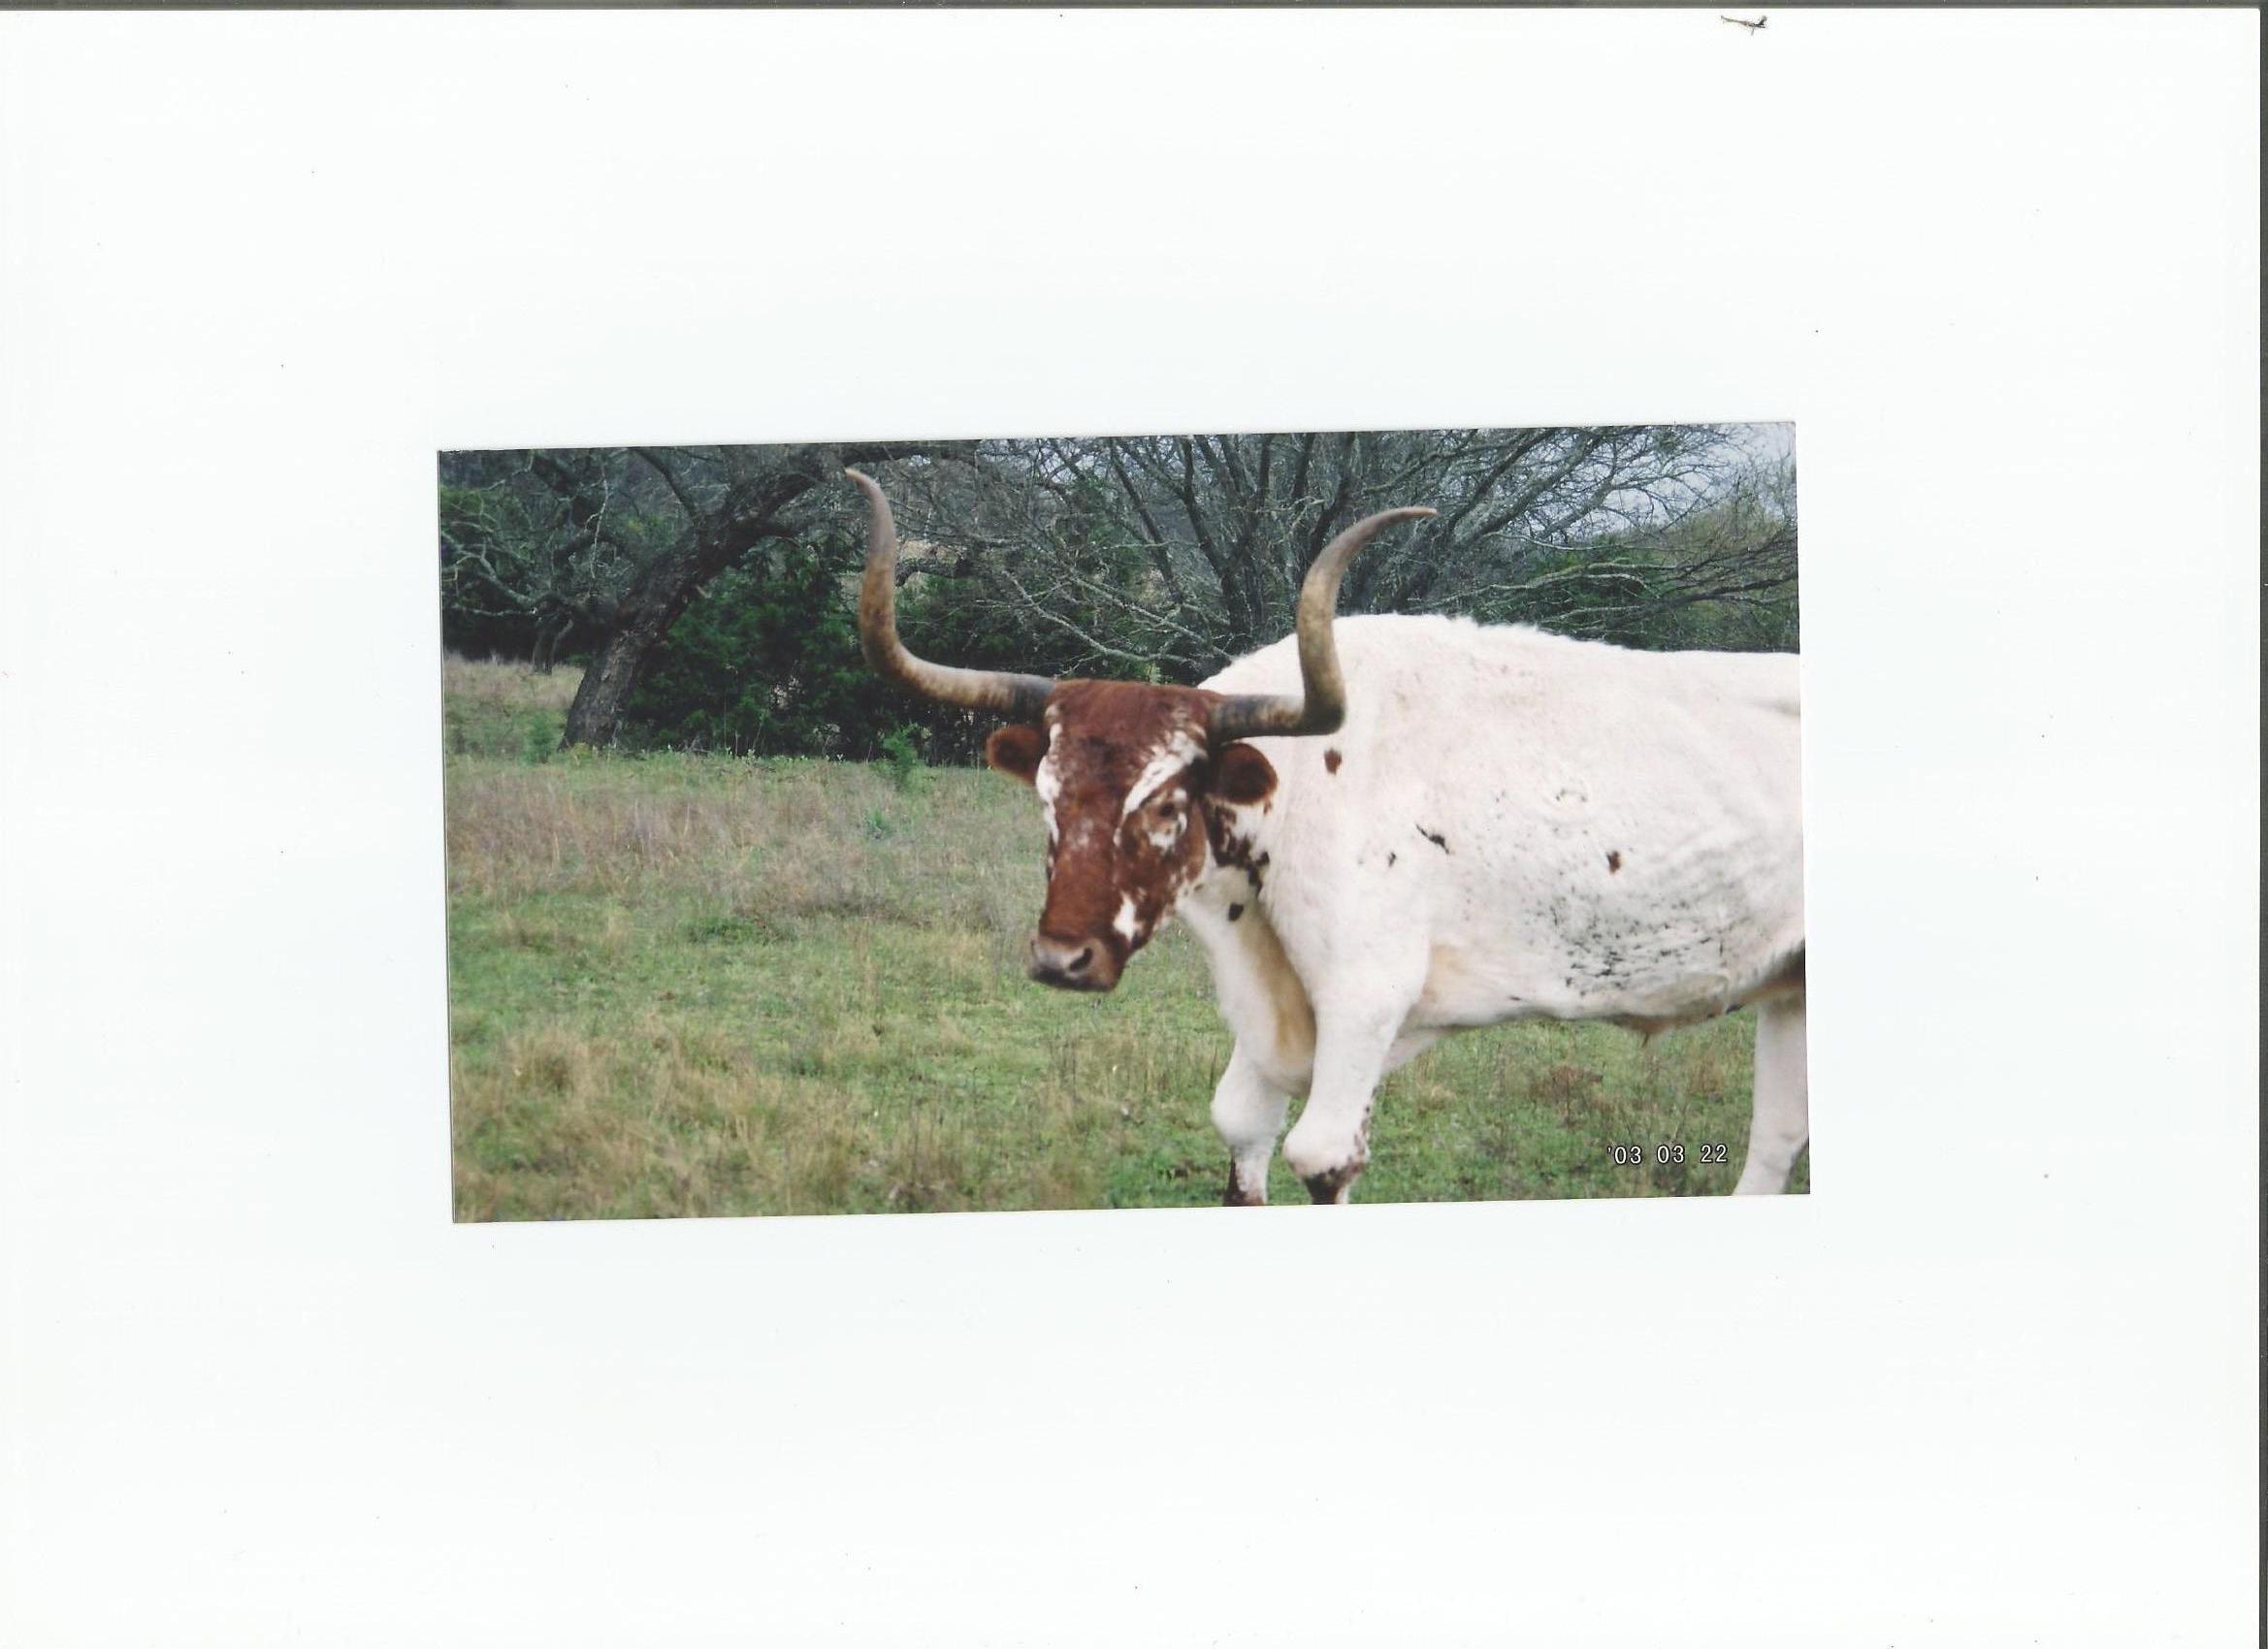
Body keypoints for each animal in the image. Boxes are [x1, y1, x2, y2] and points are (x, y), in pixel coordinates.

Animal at [845, 470, 1806, 1205]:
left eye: (1166, 802)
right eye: (1047, 797)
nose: (1060, 960)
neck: (1305, 783)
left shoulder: (1365, 998)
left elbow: (1323, 1157)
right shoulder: (1265, 1012)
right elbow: (1240, 1128)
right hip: (1790, 990)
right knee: (1776, 1138)